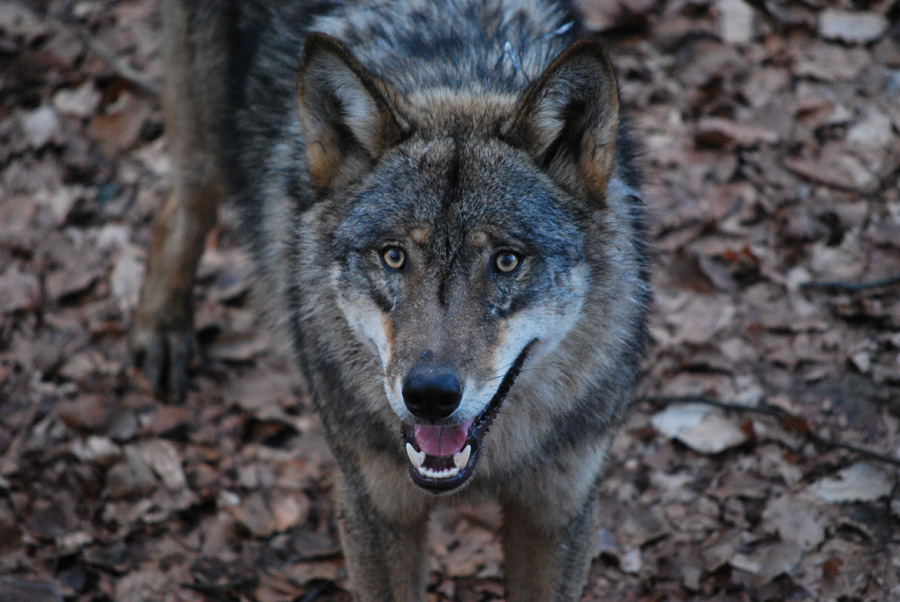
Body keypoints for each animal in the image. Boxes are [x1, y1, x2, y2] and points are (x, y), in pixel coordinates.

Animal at [131, 0, 651, 600]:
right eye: (394, 256)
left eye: (506, 261)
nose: (429, 395)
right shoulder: (375, 510)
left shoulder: (557, 514)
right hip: (207, 144)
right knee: (179, 209)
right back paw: (162, 331)